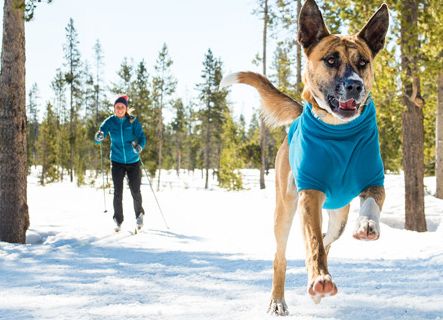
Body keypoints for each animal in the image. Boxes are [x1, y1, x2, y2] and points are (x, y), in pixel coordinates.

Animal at [221, 0, 388, 316]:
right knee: (283, 255)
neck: (338, 132)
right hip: (285, 208)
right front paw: (320, 278)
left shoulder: (373, 178)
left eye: (363, 62)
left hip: (338, 215)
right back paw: (279, 300)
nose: (355, 85)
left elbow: (371, 203)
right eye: (331, 60)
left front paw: (367, 226)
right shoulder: (309, 193)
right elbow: (312, 240)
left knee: (329, 239)